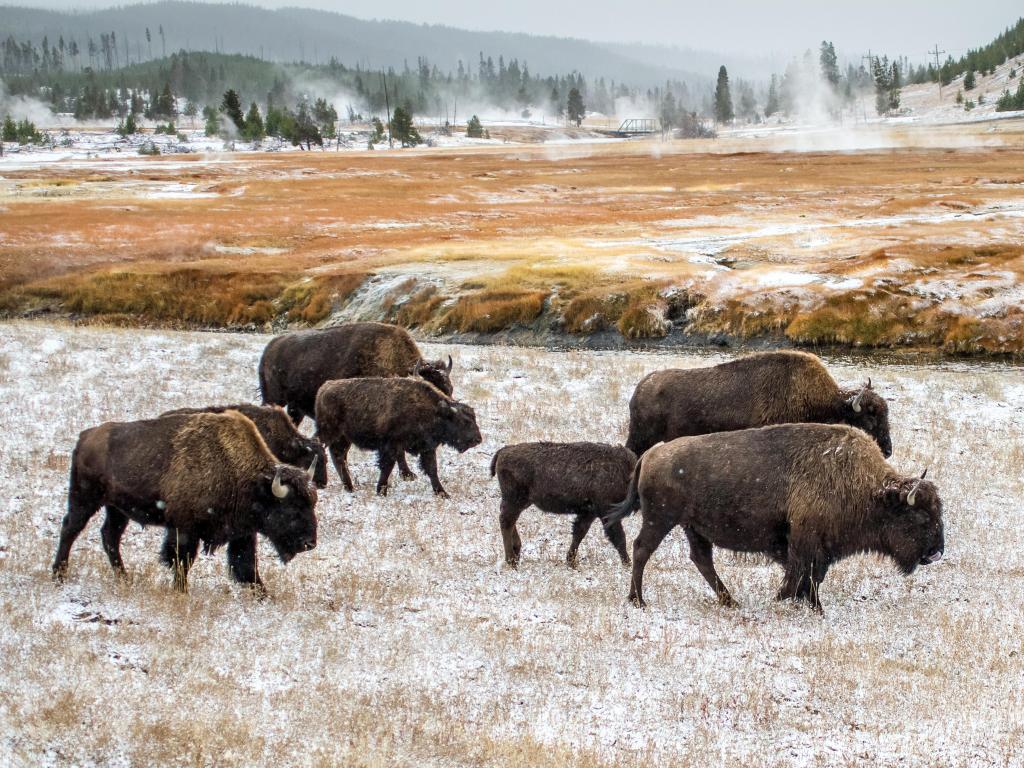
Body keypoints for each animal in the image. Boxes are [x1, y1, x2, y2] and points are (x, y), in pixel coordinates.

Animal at [50, 411, 315, 593]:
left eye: (312, 504)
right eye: (292, 509)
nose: (309, 543)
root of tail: (85, 436)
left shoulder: (242, 533)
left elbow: (246, 566)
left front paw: (264, 595)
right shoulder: (184, 529)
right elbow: (181, 560)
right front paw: (181, 591)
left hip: (117, 509)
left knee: (109, 536)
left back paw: (124, 578)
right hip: (85, 499)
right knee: (71, 528)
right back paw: (58, 575)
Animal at [313, 376, 481, 499]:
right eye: (464, 421)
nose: (478, 439)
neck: (435, 411)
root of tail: (324, 388)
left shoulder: (427, 448)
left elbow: (432, 469)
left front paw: (443, 493)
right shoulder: (391, 446)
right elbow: (388, 467)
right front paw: (381, 491)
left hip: (343, 438)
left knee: (338, 456)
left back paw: (349, 487)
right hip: (329, 433)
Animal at [489, 444, 638, 573]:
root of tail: (504, 451)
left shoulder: (589, 513)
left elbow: (579, 533)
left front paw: (571, 562)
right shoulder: (606, 511)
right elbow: (619, 537)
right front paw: (628, 564)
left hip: (521, 502)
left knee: (510, 521)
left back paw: (517, 552)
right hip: (515, 500)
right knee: (506, 521)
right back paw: (512, 561)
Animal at [602, 423, 946, 618]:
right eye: (919, 517)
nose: (936, 552)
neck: (868, 488)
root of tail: (650, 454)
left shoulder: (811, 547)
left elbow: (811, 577)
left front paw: (808, 605)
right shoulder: (807, 542)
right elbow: (805, 574)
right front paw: (794, 602)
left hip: (692, 527)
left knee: (701, 559)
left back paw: (730, 601)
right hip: (661, 519)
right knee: (642, 549)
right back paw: (638, 600)